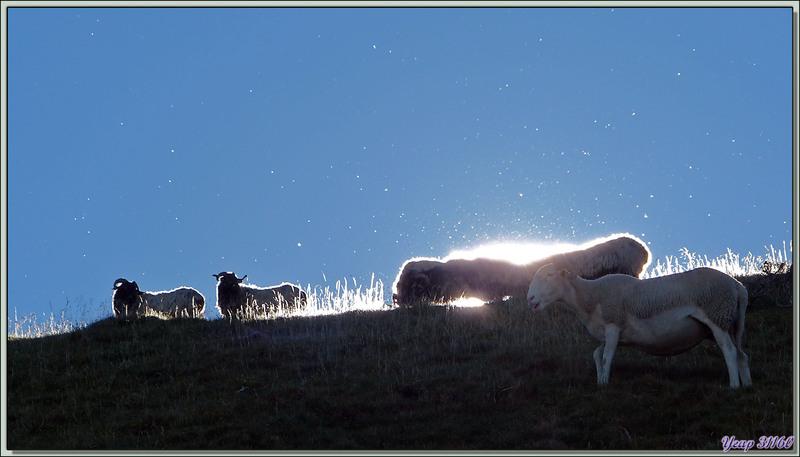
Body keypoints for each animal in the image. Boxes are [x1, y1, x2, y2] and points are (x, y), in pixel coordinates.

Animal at [524, 262, 752, 386]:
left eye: (549, 275)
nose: (530, 298)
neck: (591, 296)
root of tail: (738, 286)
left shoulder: (613, 323)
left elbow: (606, 357)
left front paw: (605, 384)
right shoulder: (607, 332)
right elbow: (597, 354)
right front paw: (599, 381)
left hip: (716, 316)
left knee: (729, 351)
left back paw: (733, 386)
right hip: (731, 323)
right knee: (741, 353)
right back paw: (746, 385)